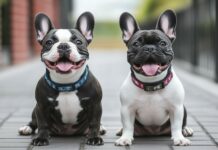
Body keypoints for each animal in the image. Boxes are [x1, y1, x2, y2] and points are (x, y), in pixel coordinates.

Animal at [17, 12, 104, 146]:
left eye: (78, 42)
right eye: (49, 42)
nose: (63, 45)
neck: (66, 83)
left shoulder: (95, 105)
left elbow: (94, 122)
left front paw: (94, 137)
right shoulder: (41, 106)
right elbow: (42, 124)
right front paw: (41, 138)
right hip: (35, 109)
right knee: (34, 122)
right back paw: (27, 128)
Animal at [115, 9, 193, 146]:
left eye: (162, 43)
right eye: (136, 44)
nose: (149, 48)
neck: (151, 84)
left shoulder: (176, 108)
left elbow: (176, 125)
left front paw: (179, 138)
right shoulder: (127, 109)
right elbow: (128, 125)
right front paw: (125, 138)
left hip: (183, 108)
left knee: (181, 124)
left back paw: (186, 130)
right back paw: (121, 130)